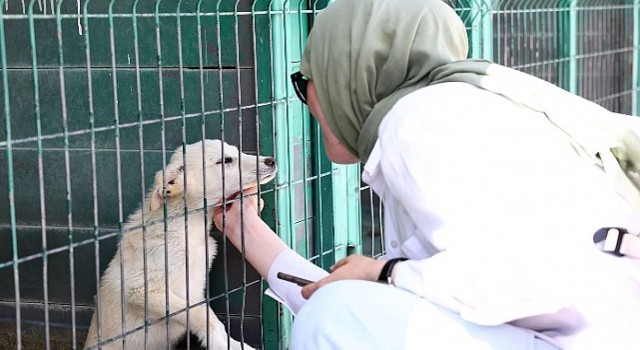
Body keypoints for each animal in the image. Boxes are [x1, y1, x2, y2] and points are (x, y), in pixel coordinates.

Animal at [84, 139, 276, 350]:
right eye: (225, 160)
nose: (271, 161)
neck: (186, 227)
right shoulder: (141, 291)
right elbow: (201, 316)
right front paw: (220, 343)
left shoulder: (194, 291)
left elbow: (209, 315)